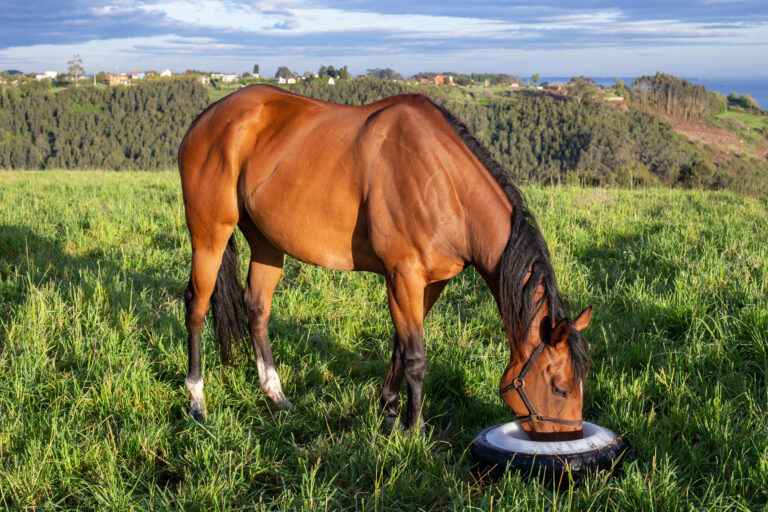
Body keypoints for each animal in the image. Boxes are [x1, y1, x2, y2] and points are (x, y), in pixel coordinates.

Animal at [178, 84, 592, 440]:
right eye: (559, 388)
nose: (568, 442)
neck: (444, 181)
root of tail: (207, 118)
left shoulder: (430, 283)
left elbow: (400, 347)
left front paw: (390, 412)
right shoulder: (403, 275)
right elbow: (416, 357)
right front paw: (416, 428)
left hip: (267, 243)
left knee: (257, 308)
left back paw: (276, 396)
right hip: (209, 235)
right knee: (197, 306)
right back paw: (197, 401)